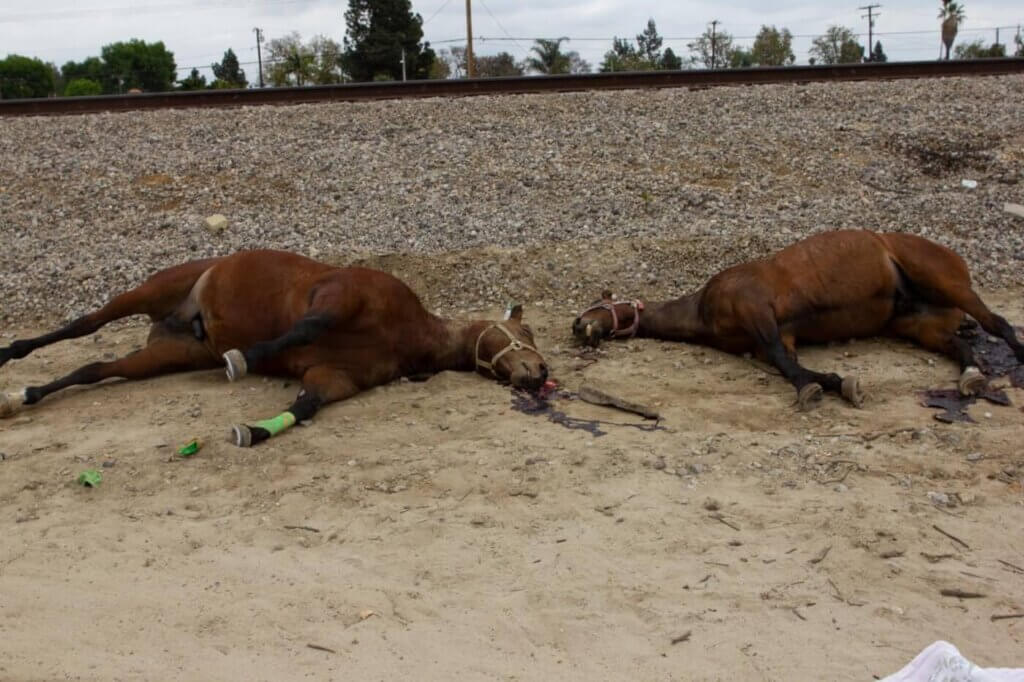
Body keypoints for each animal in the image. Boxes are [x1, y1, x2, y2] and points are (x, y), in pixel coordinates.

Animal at [0, 249, 552, 446]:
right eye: (525, 335)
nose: (542, 373)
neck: (407, 329)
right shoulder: (336, 298)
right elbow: (299, 331)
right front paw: (240, 360)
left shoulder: (335, 378)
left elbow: (304, 408)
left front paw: (254, 431)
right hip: (145, 292)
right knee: (82, 325)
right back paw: (12, 357)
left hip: (163, 357)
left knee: (94, 368)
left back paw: (24, 396)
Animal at [577, 228, 1024, 409]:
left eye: (597, 303)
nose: (576, 327)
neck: (703, 306)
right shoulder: (767, 339)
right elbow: (788, 362)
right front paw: (835, 383)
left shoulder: (757, 312)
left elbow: (784, 362)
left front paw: (818, 389)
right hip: (917, 322)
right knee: (959, 343)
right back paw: (970, 375)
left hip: (945, 282)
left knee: (997, 323)